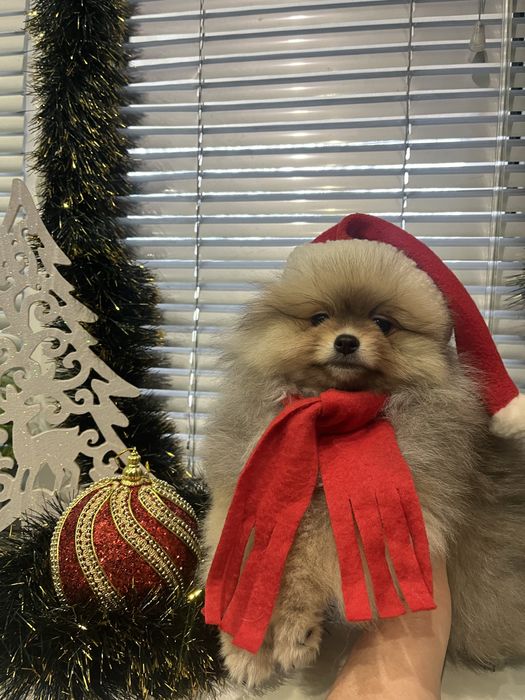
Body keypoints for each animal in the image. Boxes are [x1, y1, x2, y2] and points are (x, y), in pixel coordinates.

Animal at [201, 235, 525, 687]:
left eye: (383, 323)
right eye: (319, 318)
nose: (346, 341)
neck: (326, 418)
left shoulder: (352, 518)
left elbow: (302, 566)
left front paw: (294, 630)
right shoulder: (243, 493)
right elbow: (243, 562)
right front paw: (245, 650)